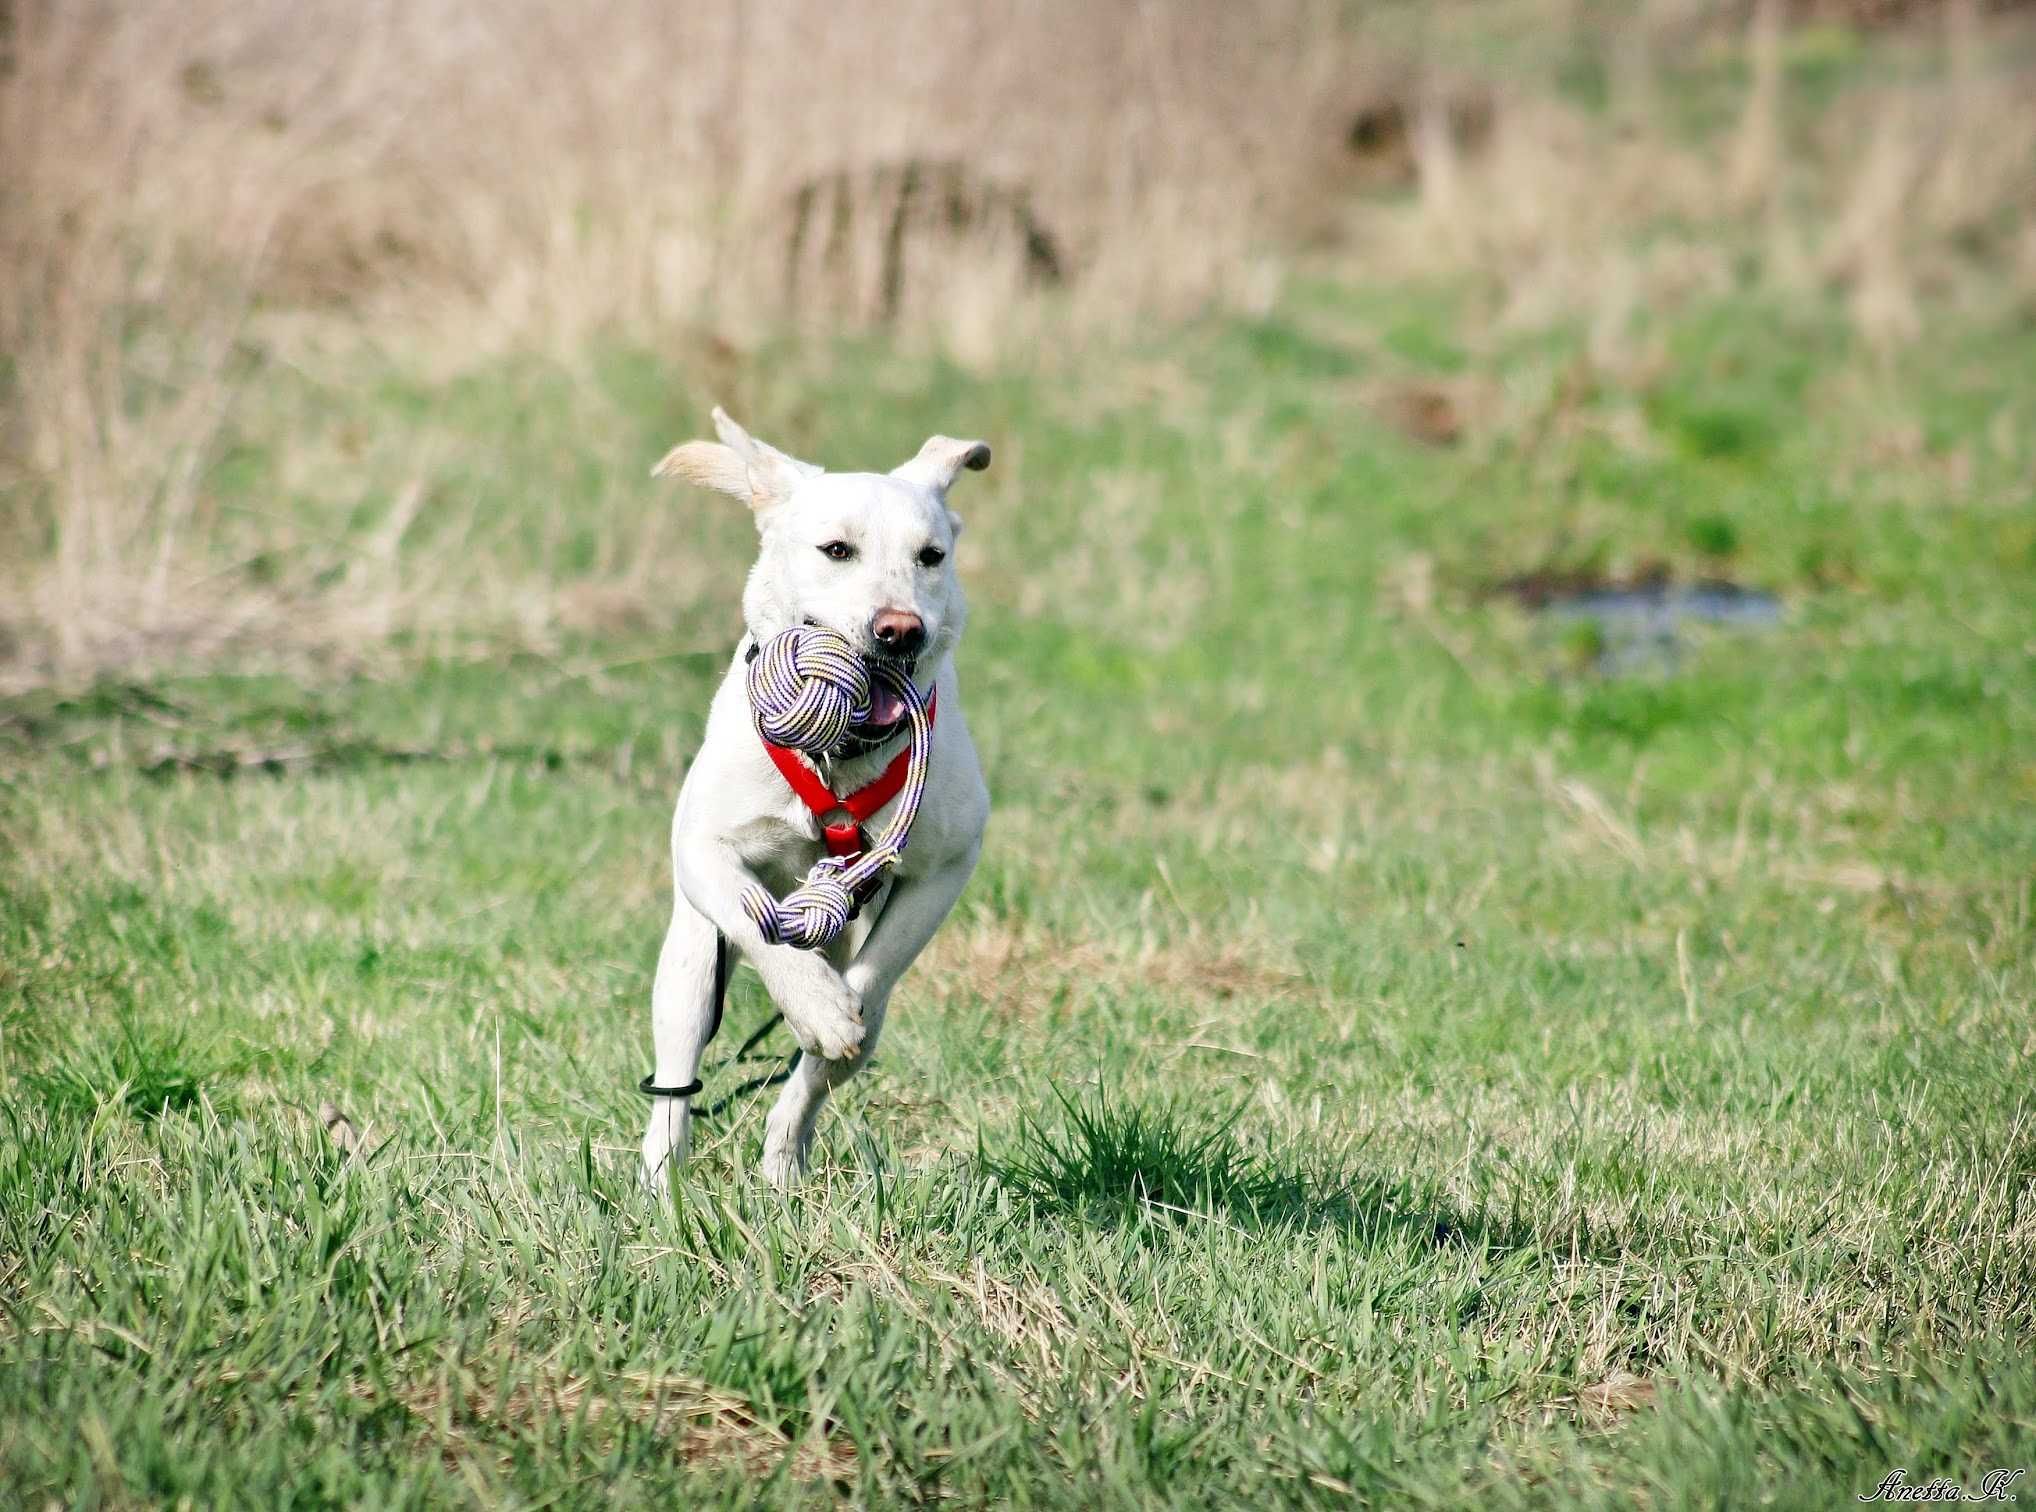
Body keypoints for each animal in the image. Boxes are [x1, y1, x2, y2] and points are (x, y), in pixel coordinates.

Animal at [635, 409, 985, 1188]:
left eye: (931, 556)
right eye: (837, 550)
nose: (900, 629)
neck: (841, 757)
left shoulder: (946, 866)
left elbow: (871, 983)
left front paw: (833, 1014)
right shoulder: (702, 850)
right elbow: (753, 920)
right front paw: (815, 1004)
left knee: (814, 1081)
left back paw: (782, 1168)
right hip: (686, 966)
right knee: (677, 1071)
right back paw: (662, 1177)